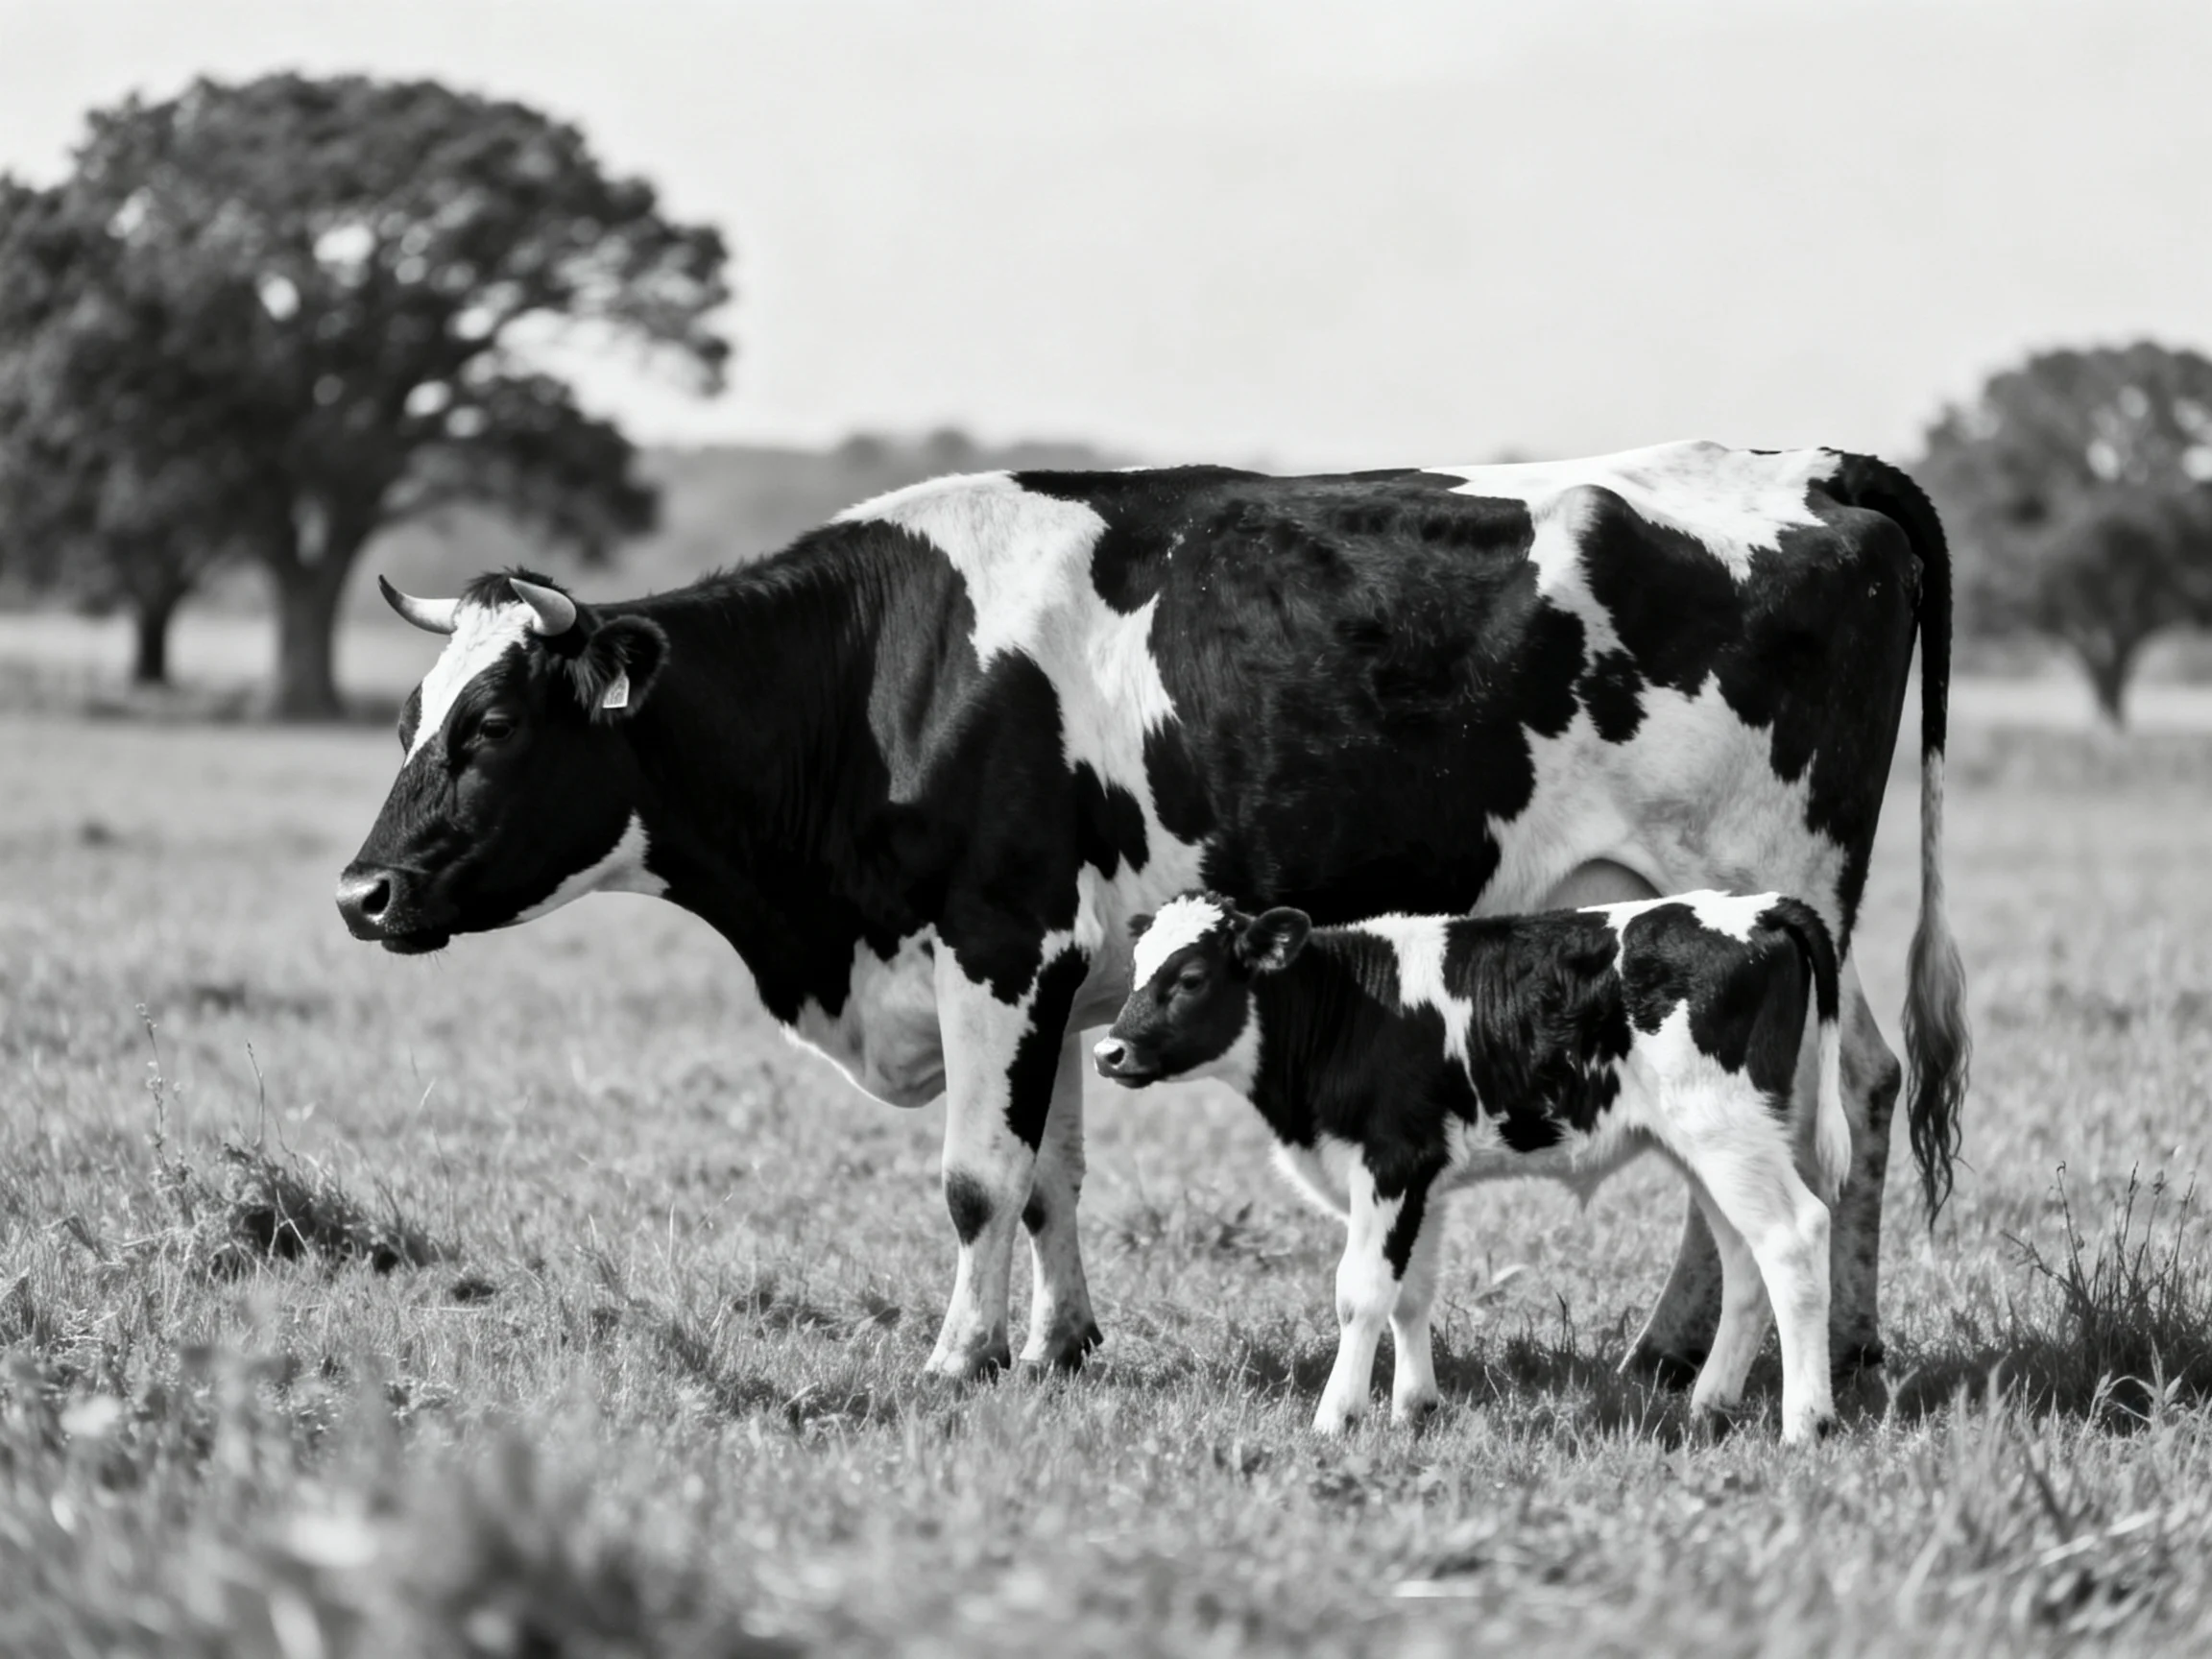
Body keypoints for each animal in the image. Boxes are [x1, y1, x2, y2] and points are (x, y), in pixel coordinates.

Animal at [1092, 888, 1849, 1441]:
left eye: (1190, 978)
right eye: (1134, 972)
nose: (1108, 1053)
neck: (1348, 1013)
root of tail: (1760, 904)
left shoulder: (1393, 1162)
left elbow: (1362, 1291)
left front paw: (1336, 1417)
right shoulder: (1425, 1177)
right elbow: (1412, 1291)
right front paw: (1414, 1407)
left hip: (1727, 1131)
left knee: (1795, 1237)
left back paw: (1806, 1422)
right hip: (1712, 1146)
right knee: (1745, 1260)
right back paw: (1711, 1403)